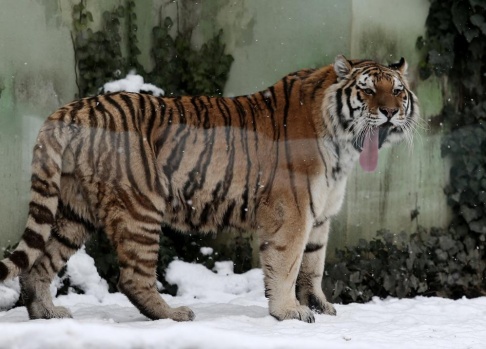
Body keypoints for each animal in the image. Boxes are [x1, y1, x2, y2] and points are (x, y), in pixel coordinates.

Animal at [0, 54, 418, 320]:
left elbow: (313, 265)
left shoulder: (320, 215)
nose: (390, 111)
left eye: (397, 90)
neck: (343, 145)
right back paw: (172, 315)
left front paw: (319, 306)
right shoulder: (292, 212)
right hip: (139, 208)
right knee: (132, 277)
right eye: (367, 91)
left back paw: (47, 313)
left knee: (38, 264)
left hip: (73, 210)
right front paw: (289, 313)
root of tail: (69, 110)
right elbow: (287, 263)